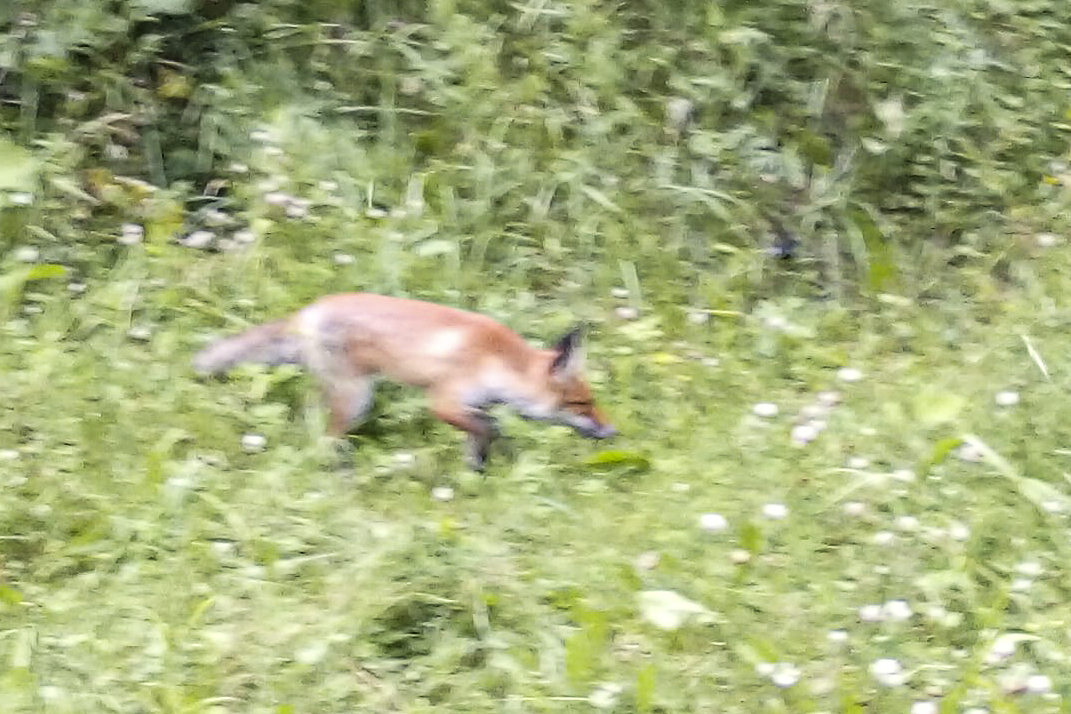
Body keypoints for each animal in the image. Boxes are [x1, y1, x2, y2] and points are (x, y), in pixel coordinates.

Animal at [188, 291, 616, 468]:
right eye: (581, 405)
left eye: (594, 401)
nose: (613, 432)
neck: (495, 360)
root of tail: (307, 311)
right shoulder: (443, 400)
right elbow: (488, 427)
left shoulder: (472, 405)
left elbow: (480, 436)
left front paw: (477, 473)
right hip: (356, 398)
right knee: (327, 438)